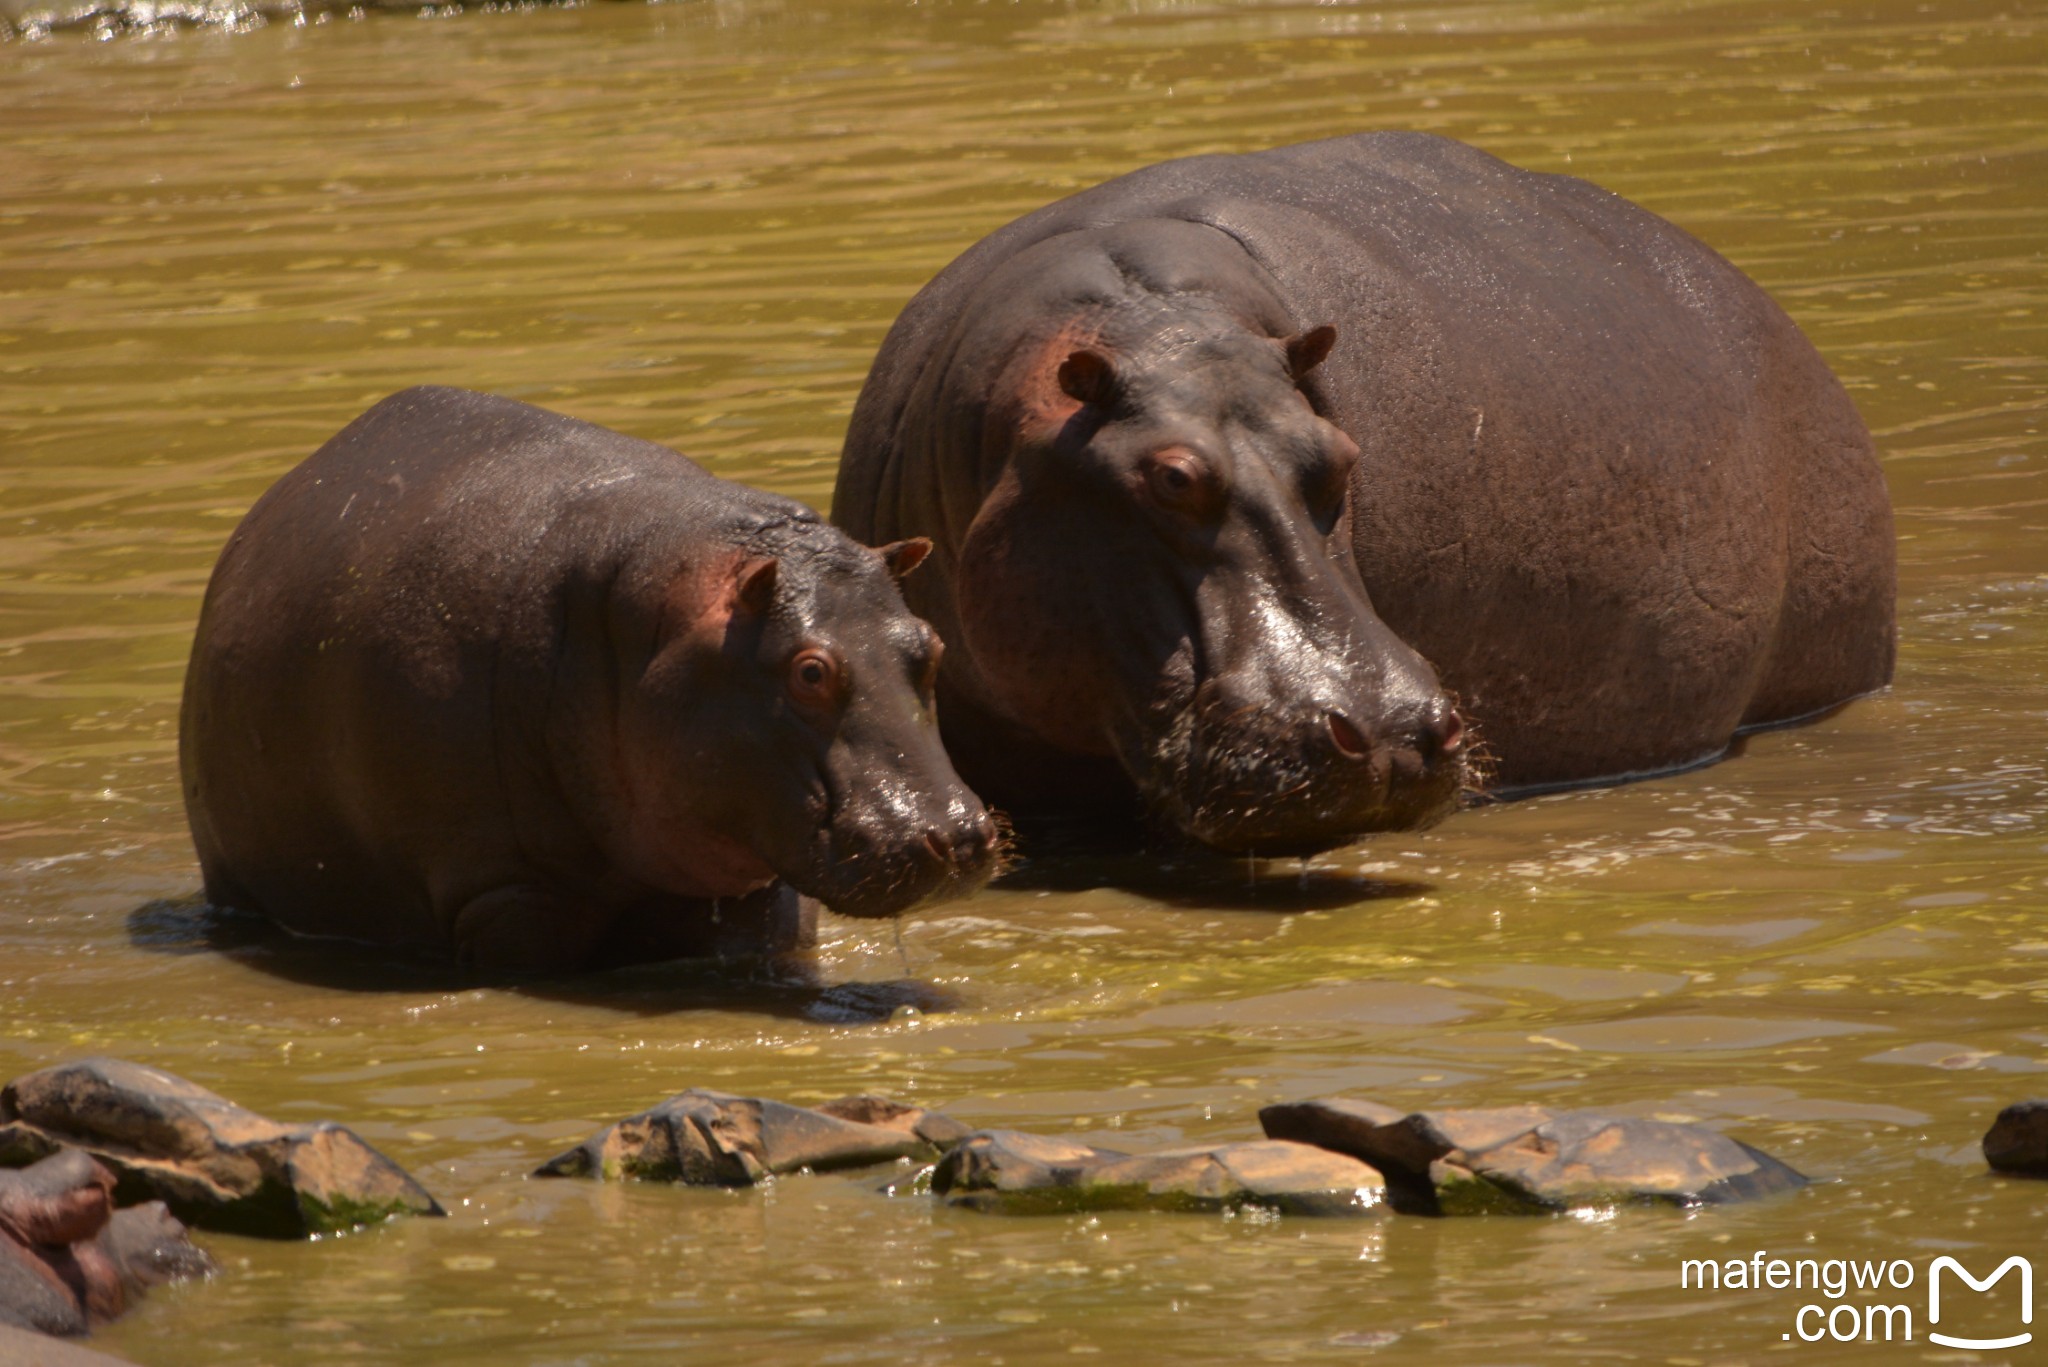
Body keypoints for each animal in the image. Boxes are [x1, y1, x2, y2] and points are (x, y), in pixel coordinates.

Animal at [180, 387, 995, 983]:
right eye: (810, 670)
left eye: (930, 644)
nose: (956, 833)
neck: (658, 620)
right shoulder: (504, 896)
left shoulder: (755, 890)